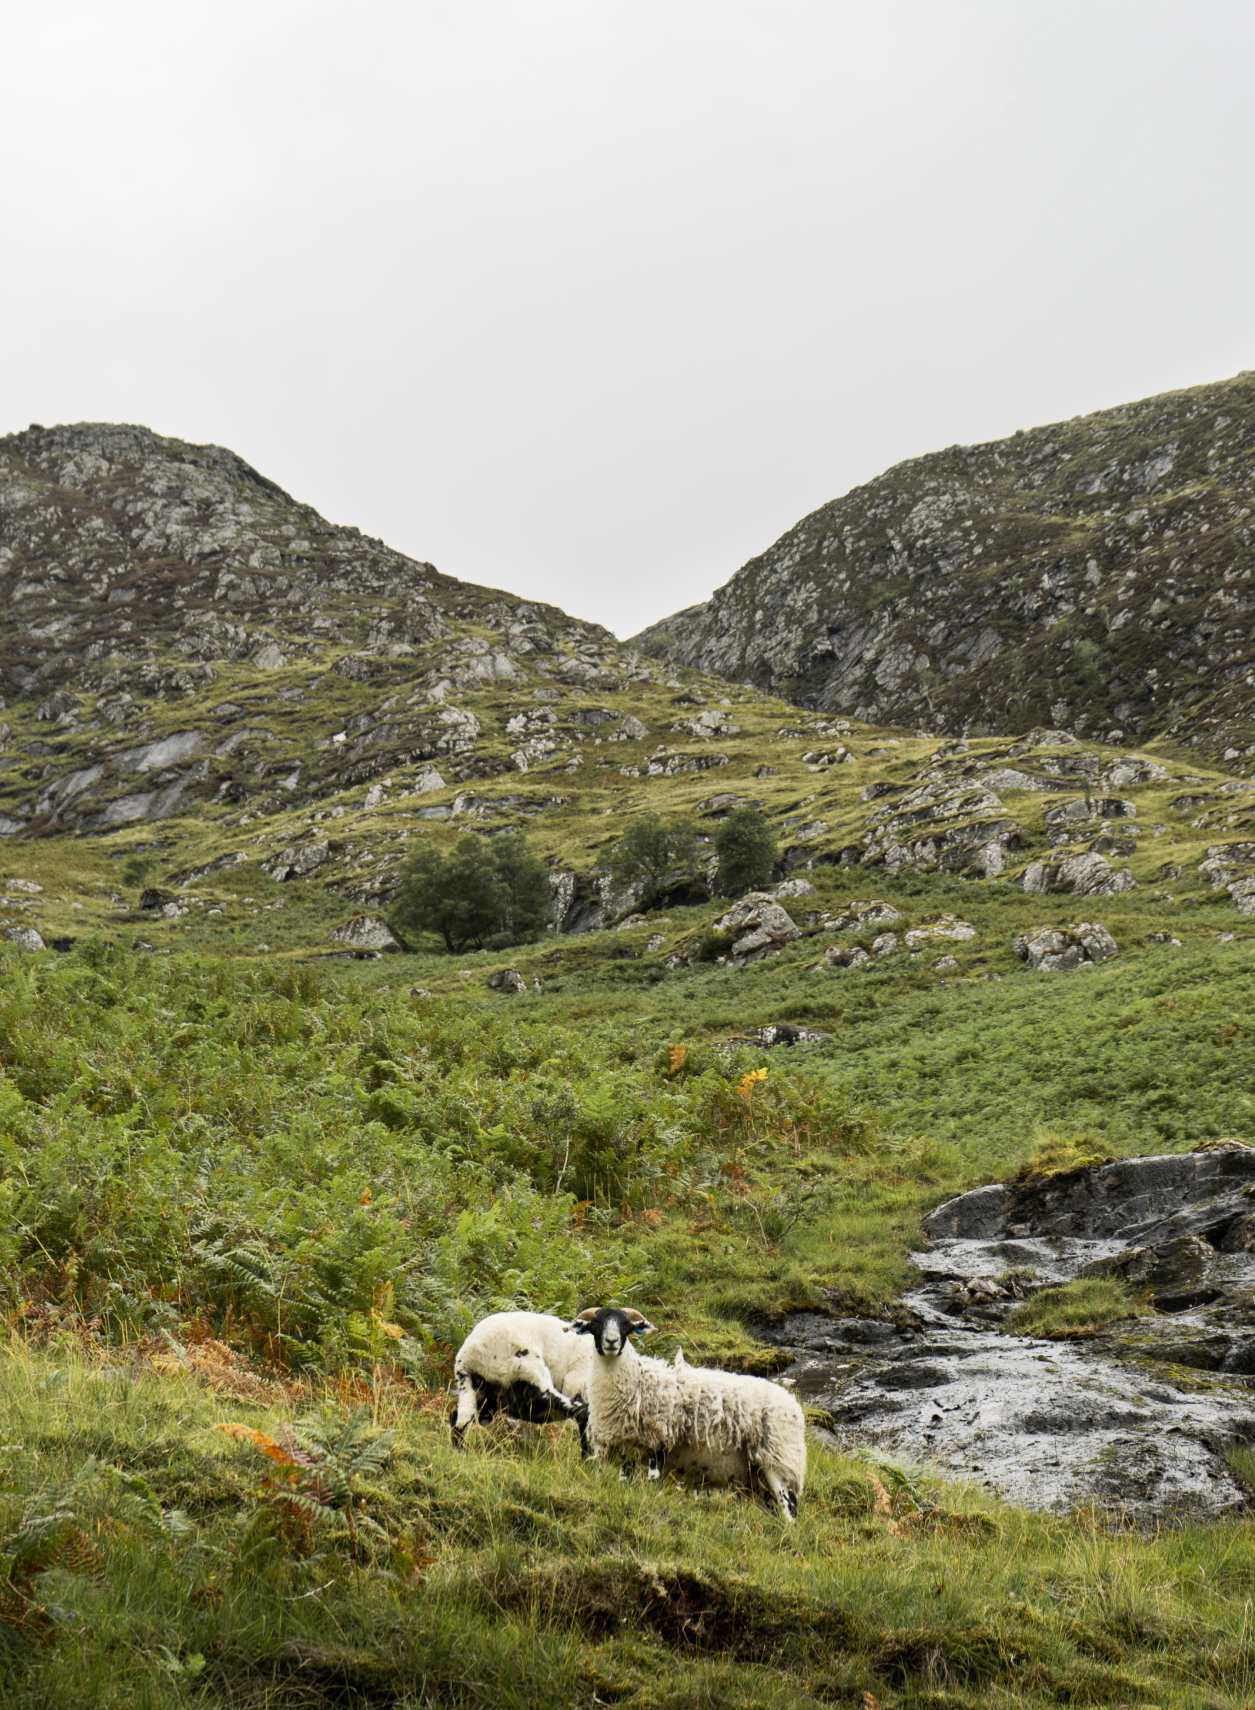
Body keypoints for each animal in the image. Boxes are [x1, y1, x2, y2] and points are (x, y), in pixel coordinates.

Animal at [451, 1313, 591, 1450]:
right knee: (575, 1409)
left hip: (483, 1393)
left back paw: (460, 1449)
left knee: (459, 1418)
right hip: (527, 1372)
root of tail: (467, 1358)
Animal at [574, 1306, 810, 1525]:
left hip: (779, 1460)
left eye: (626, 1325)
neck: (636, 1379)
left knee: (789, 1508)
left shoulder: (659, 1438)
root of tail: (793, 1405)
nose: (611, 1342)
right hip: (759, 1476)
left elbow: (653, 1478)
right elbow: (624, 1478)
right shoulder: (623, 1447)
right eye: (596, 1324)